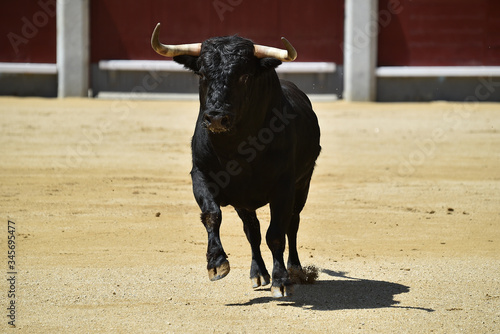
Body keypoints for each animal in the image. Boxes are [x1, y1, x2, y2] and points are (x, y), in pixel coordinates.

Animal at [157, 32, 320, 298]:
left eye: (244, 76)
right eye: (203, 74)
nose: (215, 118)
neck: (236, 149)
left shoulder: (284, 186)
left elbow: (276, 233)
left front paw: (281, 280)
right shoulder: (200, 176)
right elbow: (212, 214)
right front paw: (216, 263)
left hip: (302, 185)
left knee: (292, 224)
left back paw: (295, 270)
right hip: (244, 202)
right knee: (252, 231)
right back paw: (258, 273)